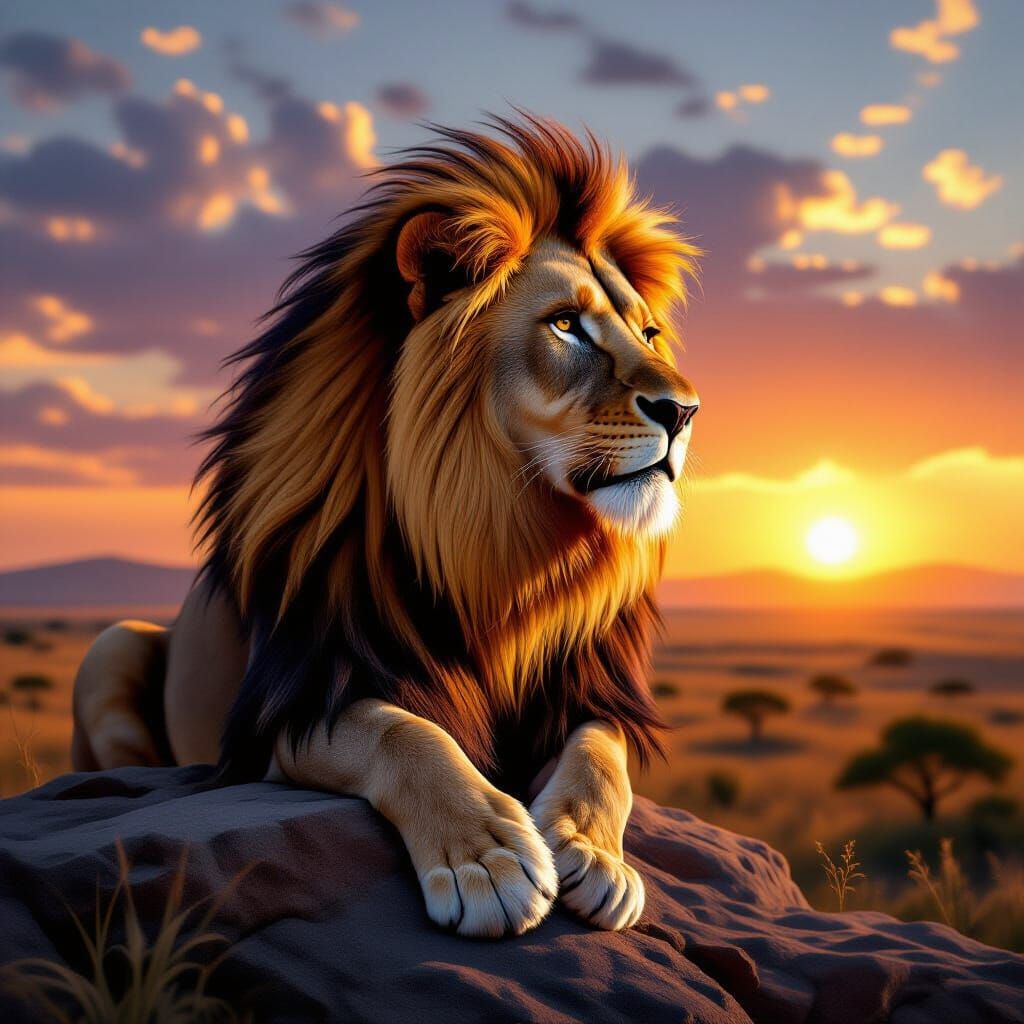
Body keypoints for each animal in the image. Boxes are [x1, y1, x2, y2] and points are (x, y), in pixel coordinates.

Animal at [71, 115, 700, 939]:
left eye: (650, 334)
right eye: (566, 325)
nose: (685, 411)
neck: (499, 549)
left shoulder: (582, 689)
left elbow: (604, 753)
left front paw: (595, 854)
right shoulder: (298, 702)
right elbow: (404, 733)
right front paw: (486, 861)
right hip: (113, 644)